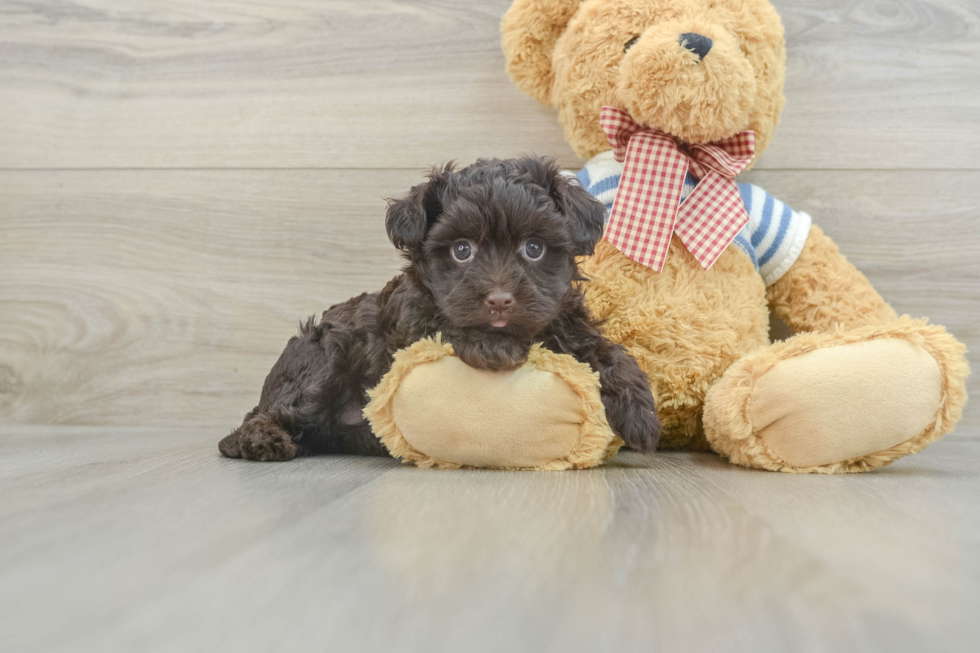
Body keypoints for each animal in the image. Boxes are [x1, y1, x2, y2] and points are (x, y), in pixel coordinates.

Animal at [219, 156, 664, 460]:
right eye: (461, 250)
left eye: (534, 248)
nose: (499, 300)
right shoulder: (410, 323)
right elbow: (446, 324)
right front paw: (494, 347)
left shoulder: (566, 320)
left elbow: (607, 350)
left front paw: (641, 411)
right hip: (323, 358)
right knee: (264, 416)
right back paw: (261, 439)